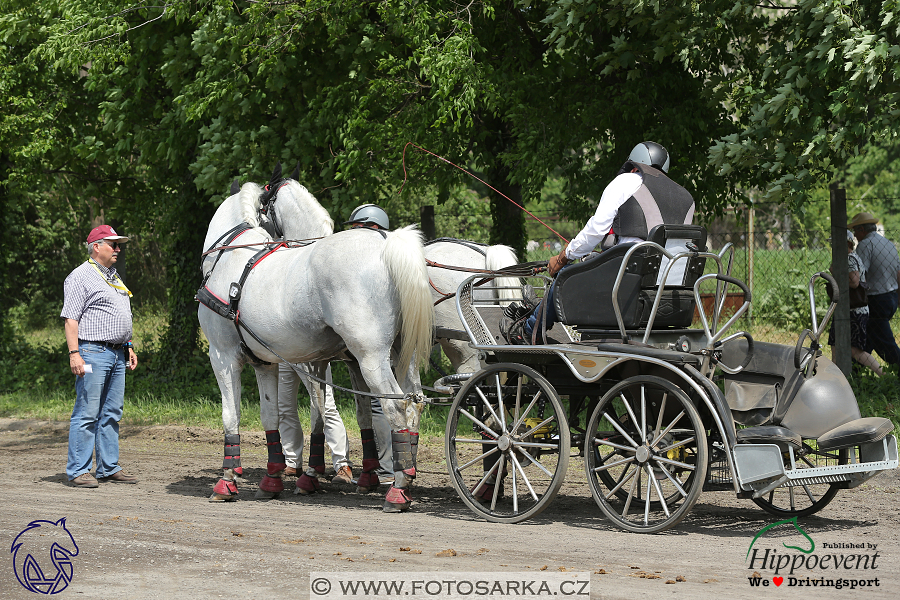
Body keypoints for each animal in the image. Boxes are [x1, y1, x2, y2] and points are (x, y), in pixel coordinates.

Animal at [200, 173, 432, 510]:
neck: (231, 256)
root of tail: (385, 245)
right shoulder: (266, 363)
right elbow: (271, 415)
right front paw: (272, 479)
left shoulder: (223, 356)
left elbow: (232, 416)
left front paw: (226, 481)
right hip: (403, 355)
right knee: (414, 403)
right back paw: (406, 474)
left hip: (371, 357)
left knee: (396, 405)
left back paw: (398, 489)